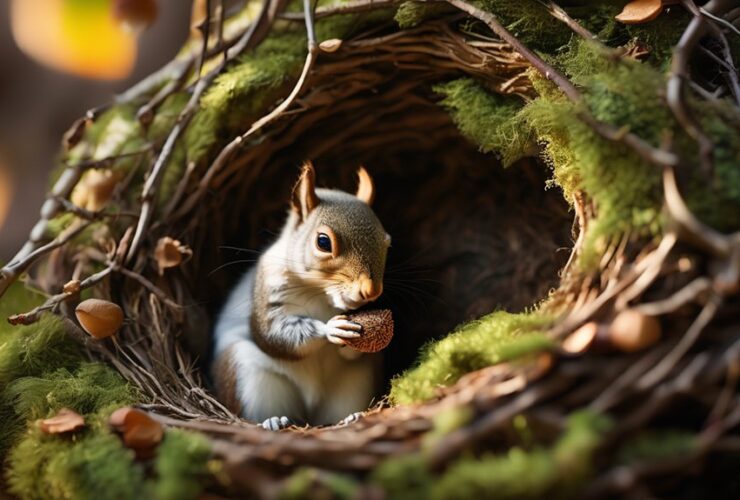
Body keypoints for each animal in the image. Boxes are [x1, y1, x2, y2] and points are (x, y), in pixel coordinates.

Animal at [211, 162, 390, 430]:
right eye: (323, 242)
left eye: (387, 243)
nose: (371, 291)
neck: (320, 293)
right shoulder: (269, 293)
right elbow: (275, 335)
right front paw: (329, 329)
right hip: (248, 375)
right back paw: (273, 421)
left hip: (355, 383)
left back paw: (350, 417)